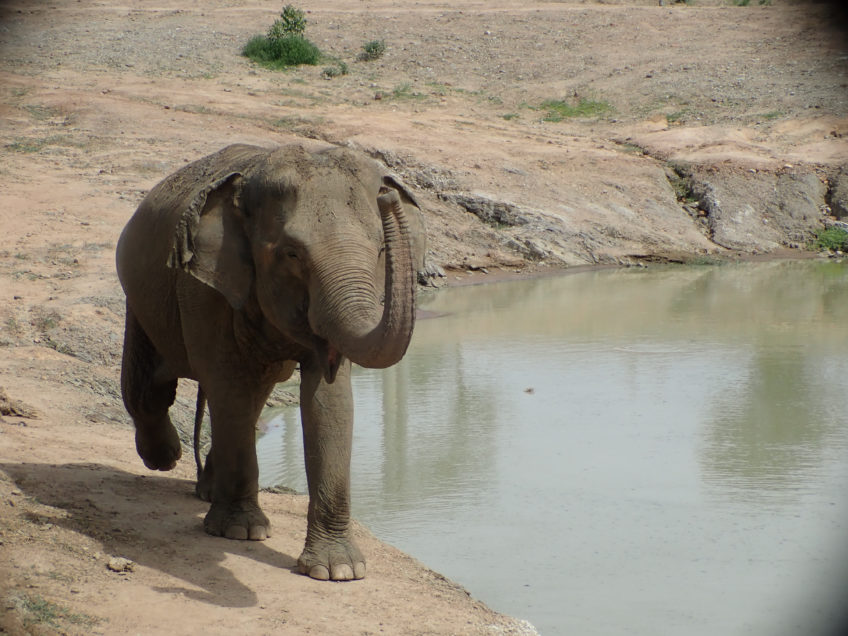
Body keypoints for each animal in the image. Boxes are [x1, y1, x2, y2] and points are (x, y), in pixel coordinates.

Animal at [115, 142, 424, 581]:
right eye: (291, 253)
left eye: (380, 250)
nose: (387, 196)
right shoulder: (203, 288)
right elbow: (229, 386)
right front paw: (240, 532)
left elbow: (329, 401)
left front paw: (338, 570)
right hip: (141, 295)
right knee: (152, 386)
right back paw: (165, 458)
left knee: (254, 392)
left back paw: (206, 490)